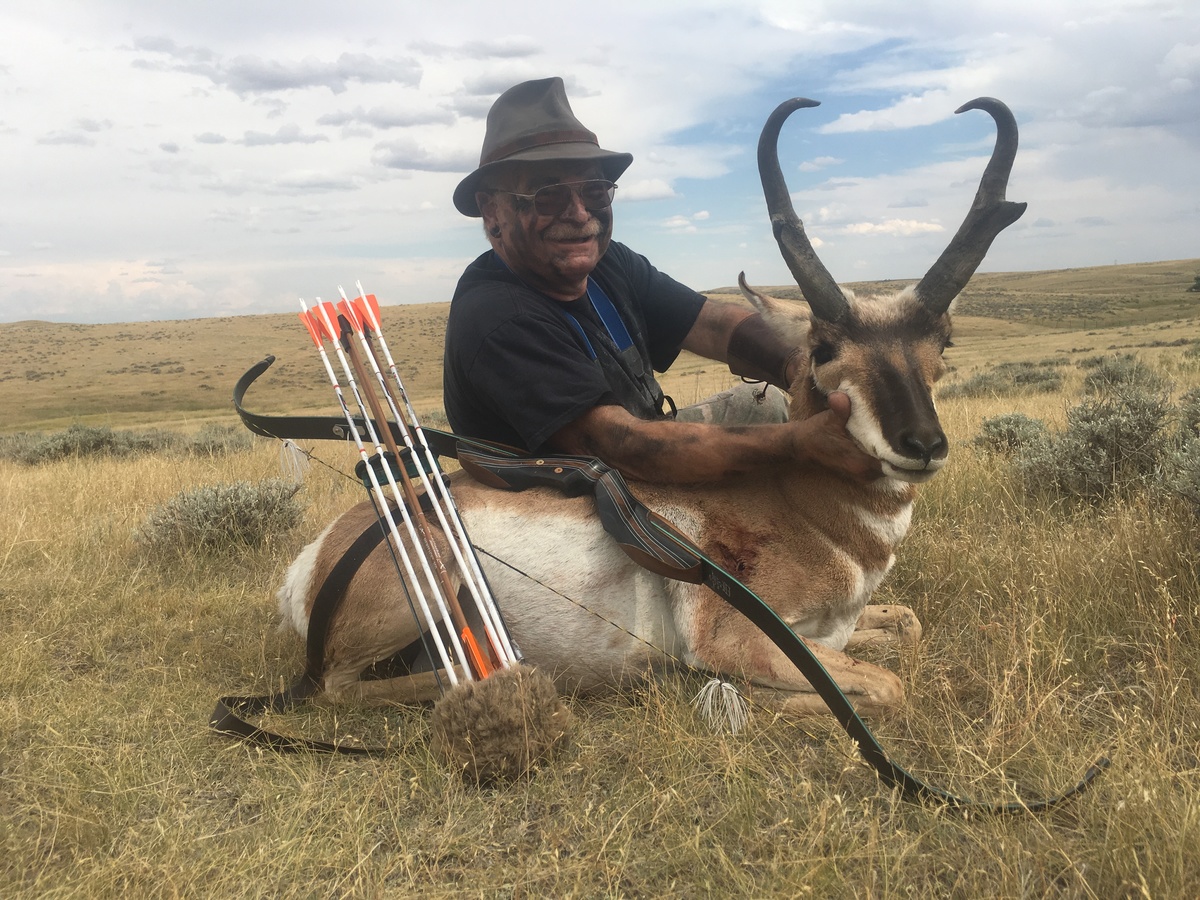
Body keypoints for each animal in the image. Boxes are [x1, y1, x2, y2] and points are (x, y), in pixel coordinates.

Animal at [276, 96, 1025, 716]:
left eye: (943, 341)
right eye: (823, 346)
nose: (921, 444)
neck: (806, 512)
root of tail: (315, 557)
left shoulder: (840, 629)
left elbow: (909, 630)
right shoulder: (743, 639)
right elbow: (888, 687)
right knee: (344, 689)